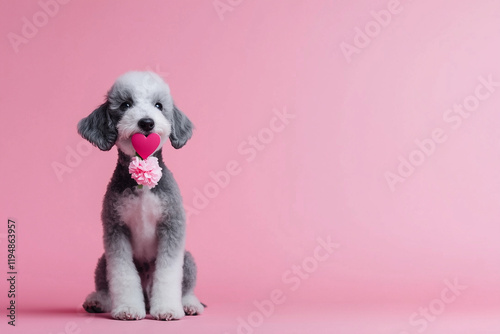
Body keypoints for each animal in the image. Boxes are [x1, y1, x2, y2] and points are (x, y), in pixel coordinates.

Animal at [78, 71, 203, 320]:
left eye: (159, 105)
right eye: (126, 105)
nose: (147, 122)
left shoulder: (171, 226)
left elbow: (168, 273)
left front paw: (167, 309)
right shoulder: (116, 230)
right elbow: (123, 274)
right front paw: (127, 309)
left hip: (188, 260)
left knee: (186, 288)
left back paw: (189, 304)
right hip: (102, 261)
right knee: (104, 286)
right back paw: (97, 301)